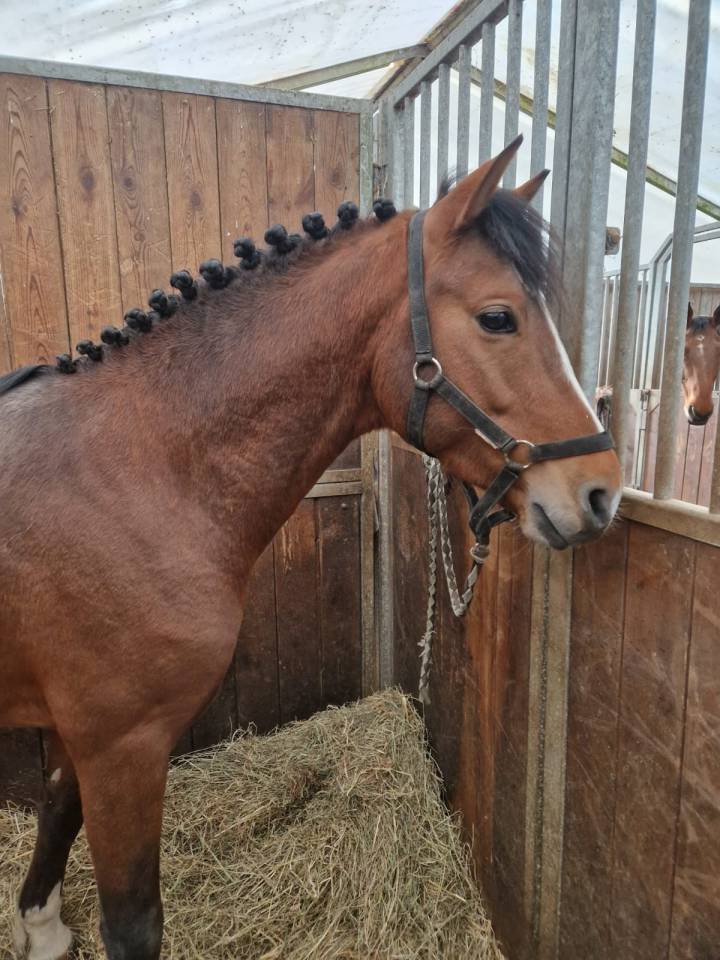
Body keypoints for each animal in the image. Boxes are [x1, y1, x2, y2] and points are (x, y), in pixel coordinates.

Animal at [1, 136, 621, 960]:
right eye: (498, 318)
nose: (602, 492)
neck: (137, 469)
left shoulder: (84, 735)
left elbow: (55, 812)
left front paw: (41, 929)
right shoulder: (122, 745)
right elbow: (133, 922)